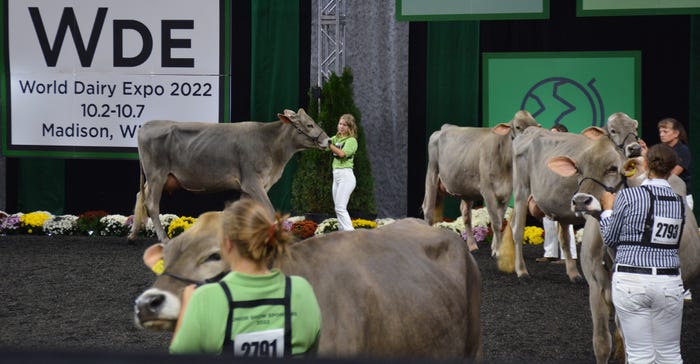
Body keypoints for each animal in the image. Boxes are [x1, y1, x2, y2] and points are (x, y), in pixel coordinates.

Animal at [127, 109, 330, 243]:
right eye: (309, 124)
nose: (328, 140)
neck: (271, 145)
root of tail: (147, 125)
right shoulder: (252, 182)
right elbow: (269, 211)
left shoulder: (249, 187)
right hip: (157, 175)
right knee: (151, 204)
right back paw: (163, 239)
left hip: (156, 177)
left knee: (139, 196)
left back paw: (133, 234)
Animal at [422, 111, 540, 253]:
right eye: (518, 127)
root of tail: (445, 127)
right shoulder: (487, 190)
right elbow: (495, 221)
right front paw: (497, 249)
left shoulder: (506, 193)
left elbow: (500, 220)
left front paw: (496, 247)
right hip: (432, 173)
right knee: (428, 209)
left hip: (466, 189)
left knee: (466, 214)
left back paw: (472, 246)